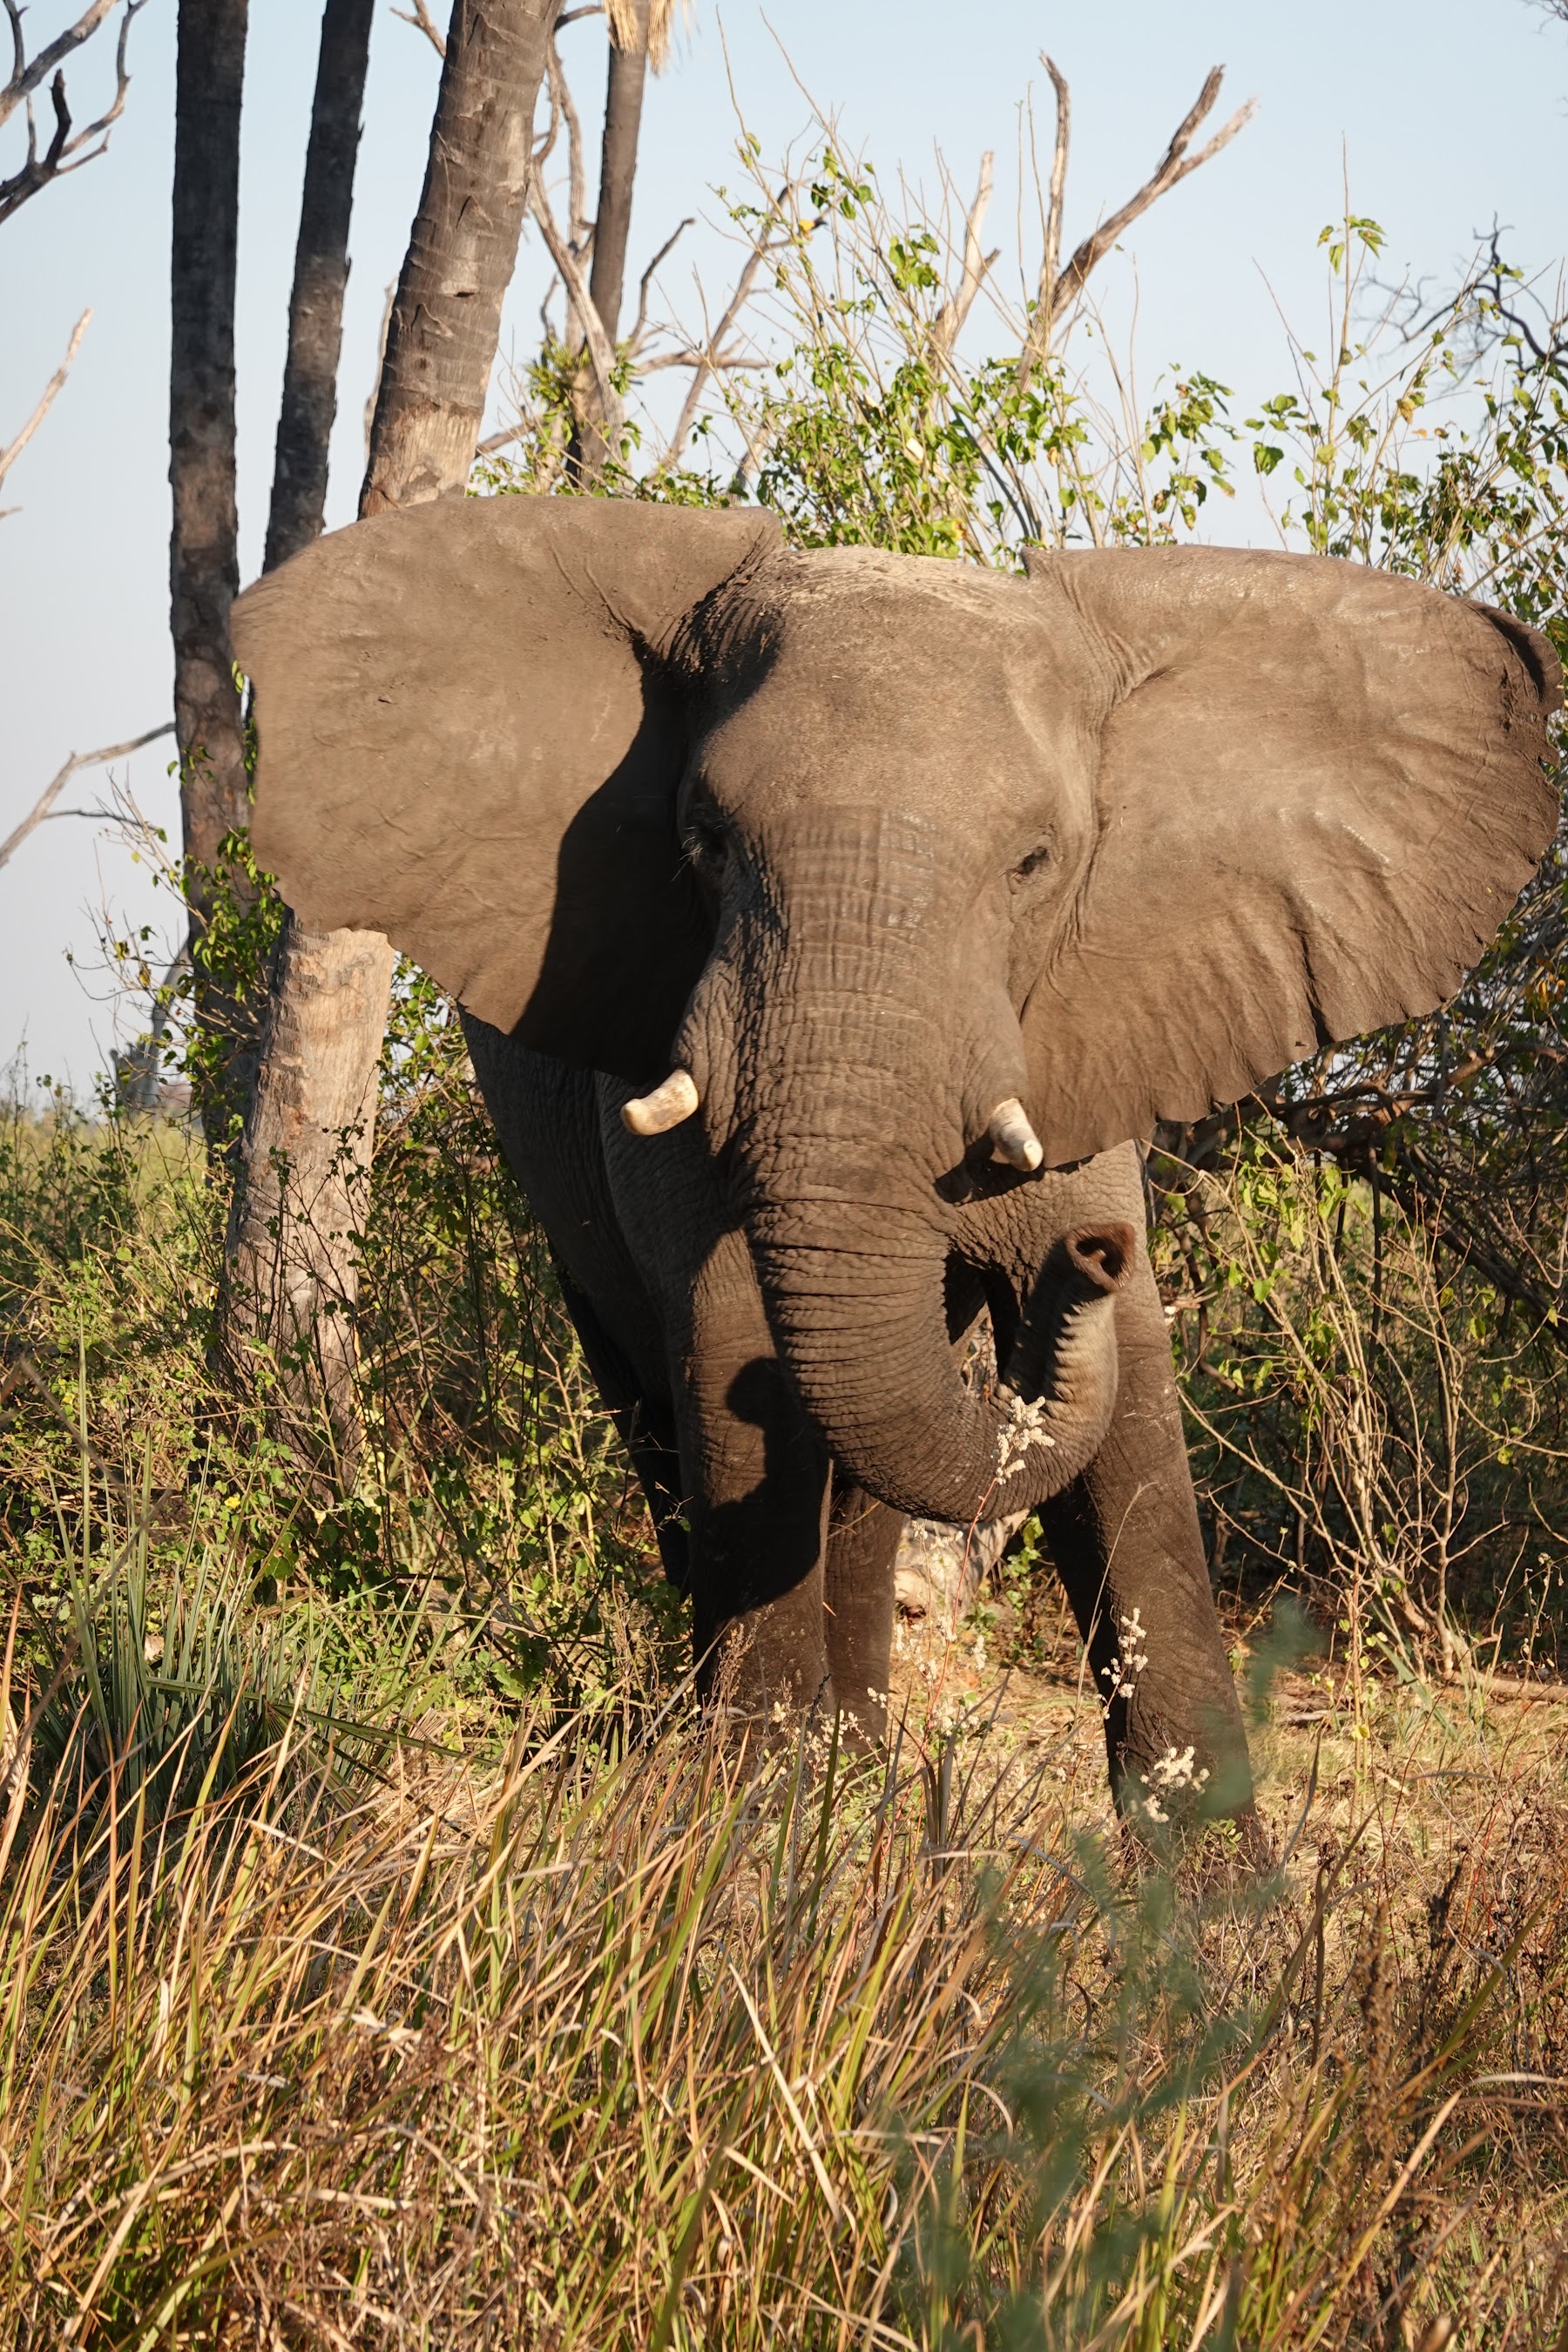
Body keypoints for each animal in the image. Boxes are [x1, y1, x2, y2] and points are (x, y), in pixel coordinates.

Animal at [231, 495, 1560, 1844]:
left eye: (1036, 863)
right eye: (706, 841)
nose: (1089, 1255)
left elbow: (1131, 1419)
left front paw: (1213, 1897)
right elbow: (734, 1348)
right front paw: (745, 1841)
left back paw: (861, 1779)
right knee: (661, 1416)